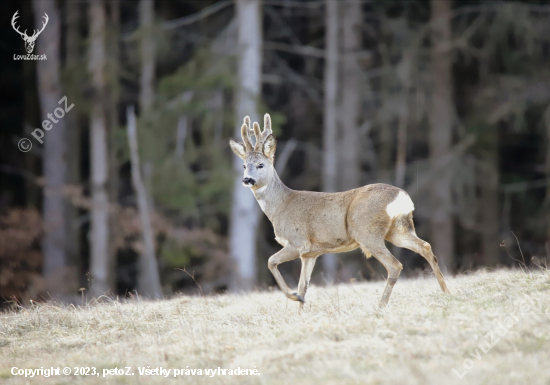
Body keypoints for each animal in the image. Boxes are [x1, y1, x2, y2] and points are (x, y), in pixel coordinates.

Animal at [231, 114, 450, 306]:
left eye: (260, 164)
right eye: (243, 165)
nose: (247, 179)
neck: (280, 206)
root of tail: (402, 196)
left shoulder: (298, 242)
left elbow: (271, 261)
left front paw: (293, 298)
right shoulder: (311, 253)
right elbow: (304, 286)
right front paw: (300, 307)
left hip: (366, 231)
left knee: (395, 265)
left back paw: (381, 306)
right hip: (397, 229)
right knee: (425, 246)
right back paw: (446, 292)